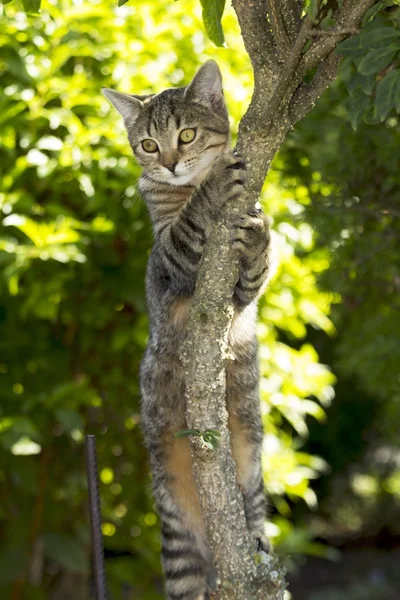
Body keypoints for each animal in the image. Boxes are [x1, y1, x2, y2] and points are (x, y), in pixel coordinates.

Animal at [103, 62, 272, 600]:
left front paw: (257, 235)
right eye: (148, 145)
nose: (172, 164)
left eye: (186, 135)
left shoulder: (239, 298)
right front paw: (213, 185)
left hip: (250, 471)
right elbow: (187, 226)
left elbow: (254, 274)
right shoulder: (169, 261)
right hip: (172, 508)